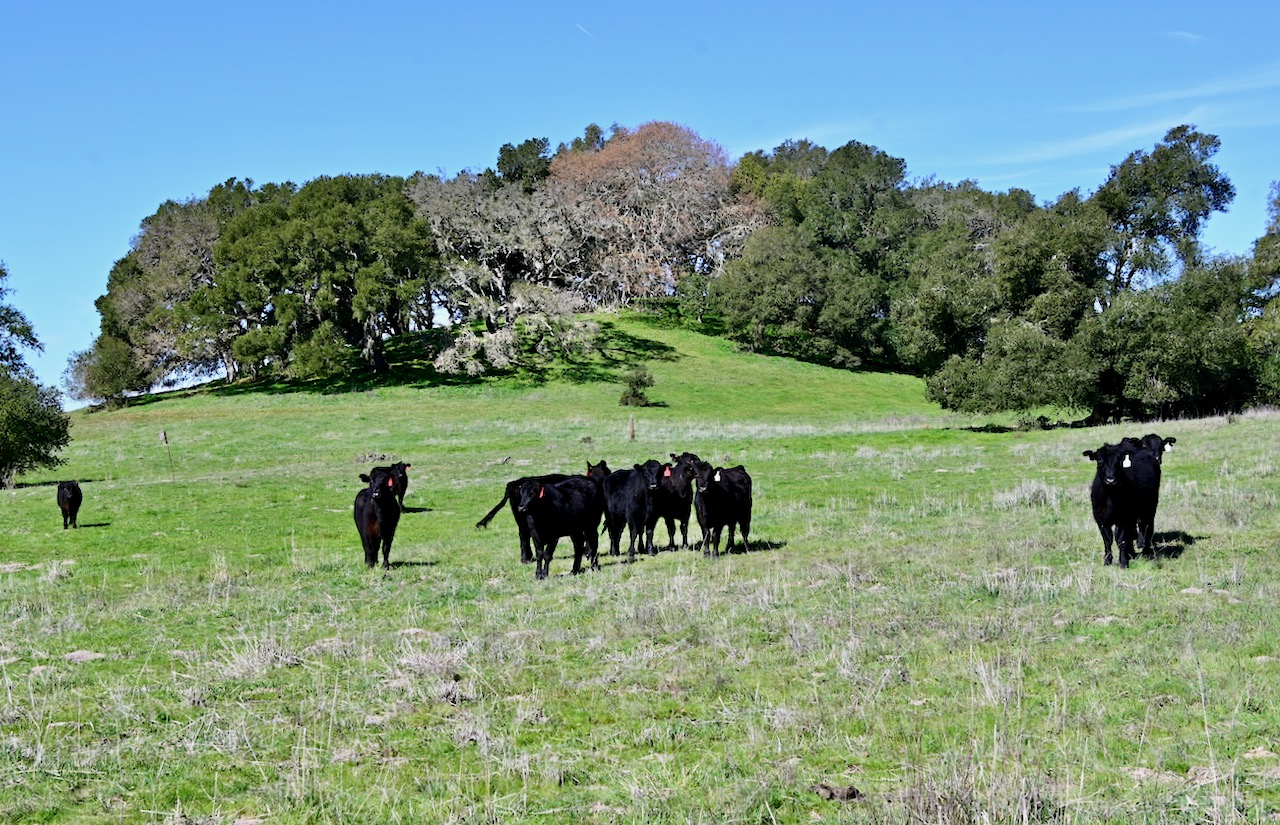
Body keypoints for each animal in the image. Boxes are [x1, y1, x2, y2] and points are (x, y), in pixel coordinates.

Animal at [476, 461, 610, 564]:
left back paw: (526, 558)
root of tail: (514, 483)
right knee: (524, 536)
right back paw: (526, 559)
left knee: (523, 536)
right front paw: (588, 553)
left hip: (520, 518)